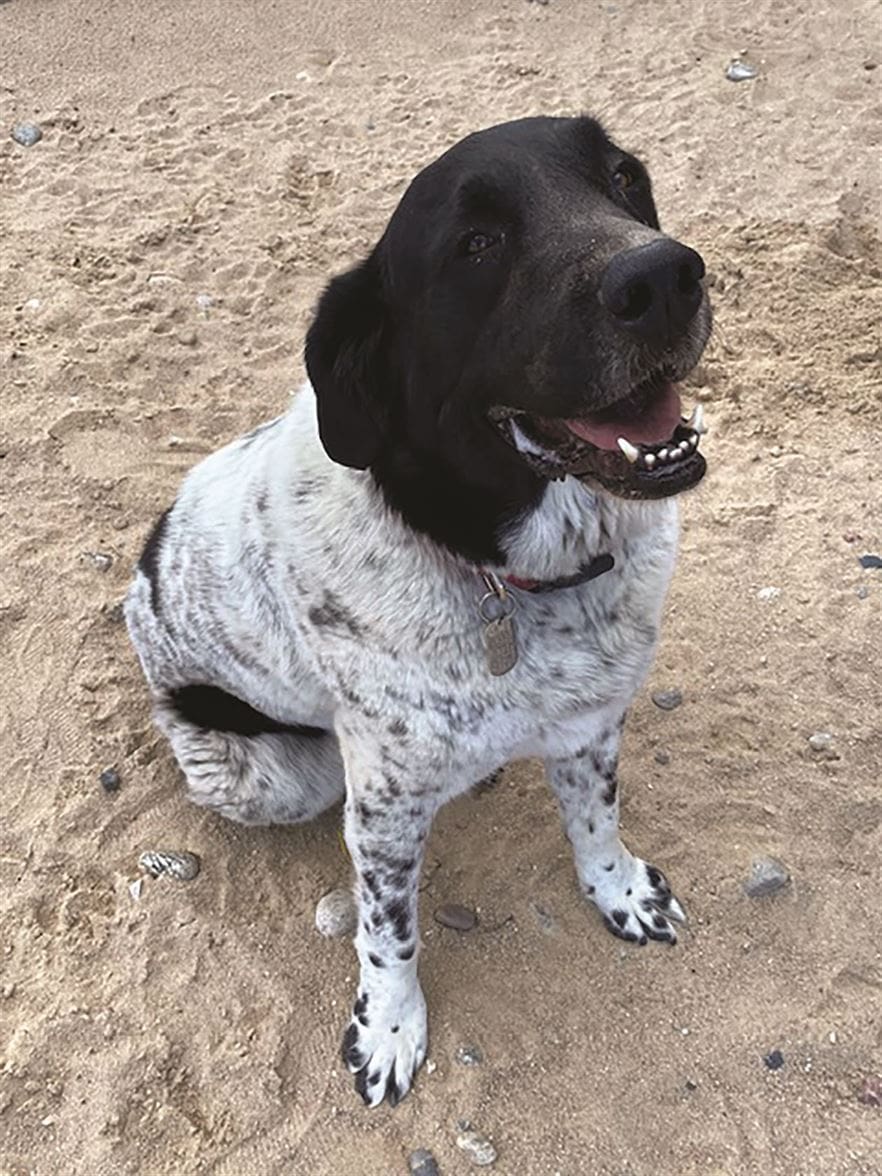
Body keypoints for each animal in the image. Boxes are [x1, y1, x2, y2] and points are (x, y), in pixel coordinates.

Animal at [127, 114, 715, 1105]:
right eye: (475, 245)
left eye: (624, 179)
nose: (665, 276)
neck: (510, 577)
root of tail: (141, 579)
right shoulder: (385, 809)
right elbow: (388, 932)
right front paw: (390, 1029)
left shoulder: (592, 724)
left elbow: (596, 822)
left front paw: (620, 891)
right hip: (274, 776)